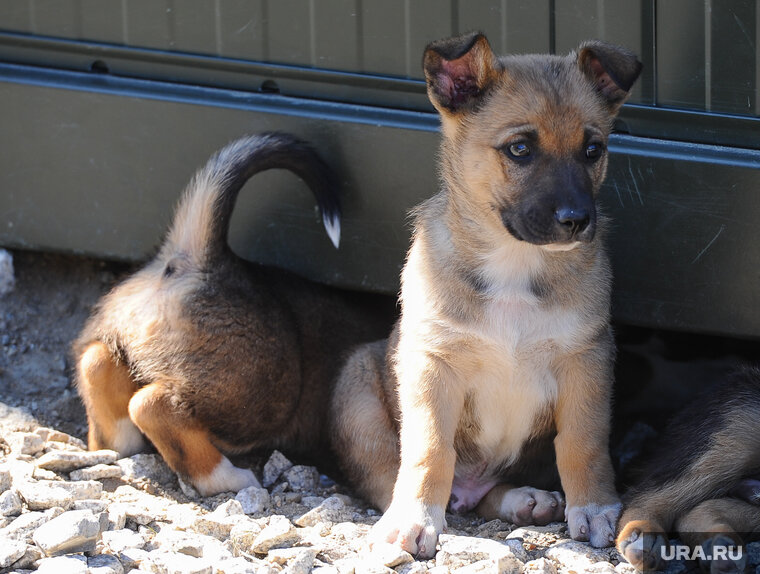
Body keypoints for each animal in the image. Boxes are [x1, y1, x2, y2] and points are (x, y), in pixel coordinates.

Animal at [77, 133, 392, 498]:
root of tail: (201, 259)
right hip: (262, 395)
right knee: (152, 406)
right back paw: (228, 478)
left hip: (124, 343)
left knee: (97, 362)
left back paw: (118, 444)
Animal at [332, 32, 640, 560]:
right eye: (519, 149)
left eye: (593, 149)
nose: (577, 220)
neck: (514, 264)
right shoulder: (433, 362)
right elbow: (429, 449)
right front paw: (416, 519)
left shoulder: (587, 358)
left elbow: (582, 441)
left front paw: (595, 506)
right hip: (357, 399)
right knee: (394, 478)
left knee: (484, 496)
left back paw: (526, 500)